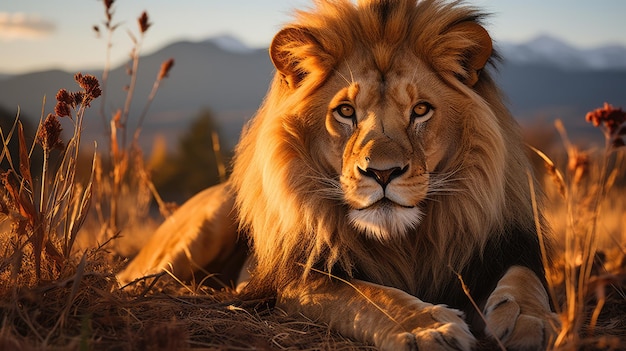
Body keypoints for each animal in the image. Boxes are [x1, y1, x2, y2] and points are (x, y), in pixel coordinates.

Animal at [117, 1, 556, 350]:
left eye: (420, 110)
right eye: (345, 112)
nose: (382, 172)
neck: (404, 243)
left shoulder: (504, 247)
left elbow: (525, 280)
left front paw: (529, 320)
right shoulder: (299, 279)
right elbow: (371, 298)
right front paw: (428, 326)